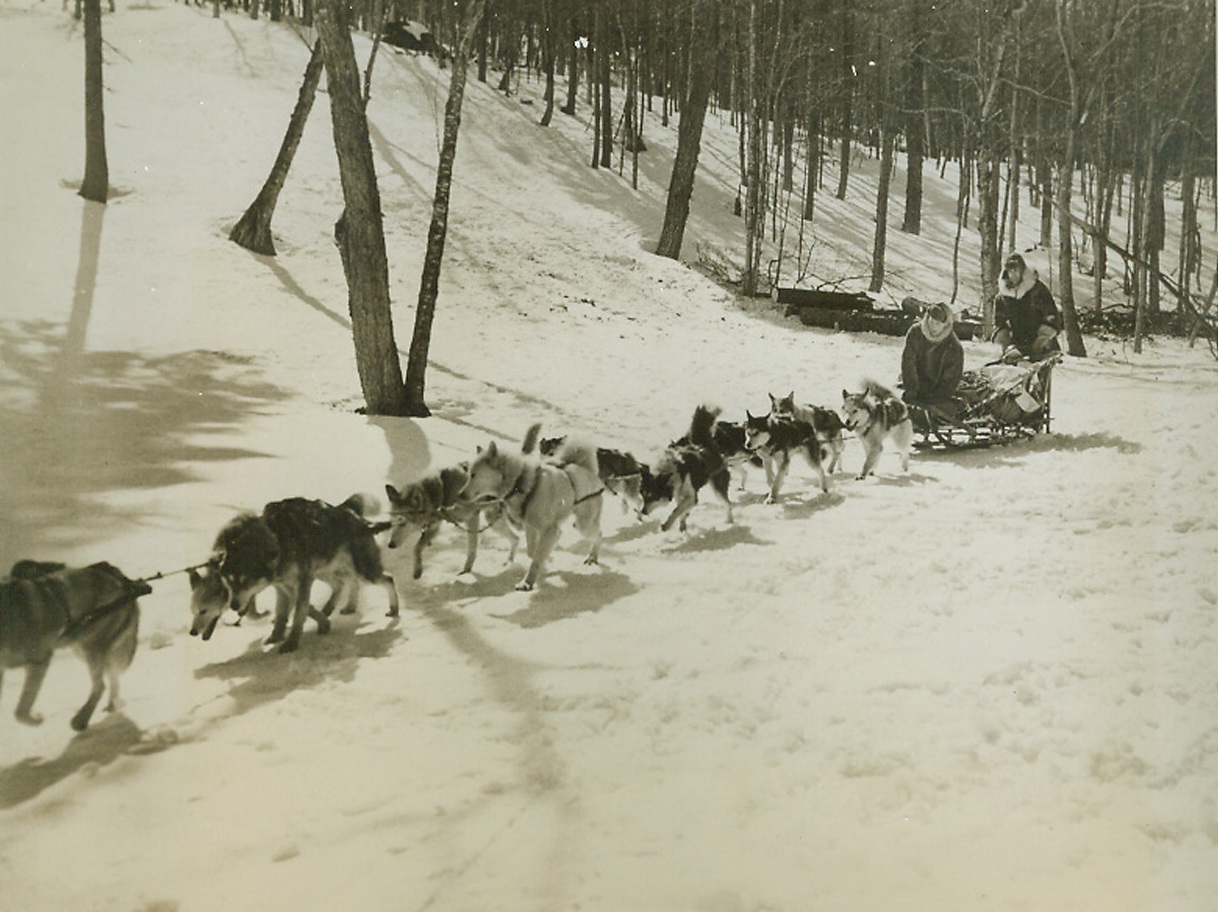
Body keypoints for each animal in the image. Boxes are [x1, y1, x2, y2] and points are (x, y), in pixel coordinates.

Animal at [1, 557, 152, 730]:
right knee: (110, 678)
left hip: (92, 648)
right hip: (82, 648)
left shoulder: (39, 660)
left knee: (100, 685)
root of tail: (121, 580)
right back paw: (110, 706)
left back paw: (81, 719)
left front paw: (36, 718)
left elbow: (22, 709)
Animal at [190, 494, 399, 652]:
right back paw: (340, 607)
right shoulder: (283, 586)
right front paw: (277, 635)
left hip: (363, 569)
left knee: (387, 578)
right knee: (344, 583)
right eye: (229, 583)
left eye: (245, 581)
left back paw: (393, 608)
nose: (233, 606)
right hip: (327, 570)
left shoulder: (302, 581)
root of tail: (358, 518)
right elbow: (283, 614)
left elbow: (299, 612)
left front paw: (291, 642)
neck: (276, 539)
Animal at [460, 426, 604, 591]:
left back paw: (592, 557)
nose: (460, 495)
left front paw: (527, 583)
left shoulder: (547, 529)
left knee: (599, 534)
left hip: (583, 525)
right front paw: (543, 563)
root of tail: (587, 470)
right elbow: (532, 552)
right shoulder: (532, 527)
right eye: (469, 474)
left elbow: (536, 558)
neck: (521, 483)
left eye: (473, 475)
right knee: (559, 535)